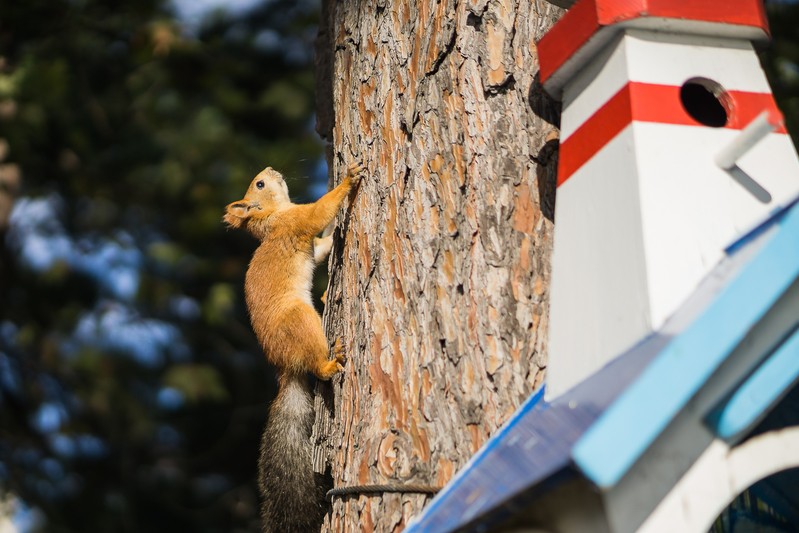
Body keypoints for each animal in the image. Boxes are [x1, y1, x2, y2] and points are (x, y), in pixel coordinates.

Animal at [223, 162, 364, 532]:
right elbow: (319, 212)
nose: (271, 168)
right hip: (300, 320)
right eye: (259, 183)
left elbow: (322, 245)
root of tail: (286, 367)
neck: (273, 216)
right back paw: (330, 361)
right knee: (319, 367)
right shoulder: (298, 222)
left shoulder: (305, 237)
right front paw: (347, 180)